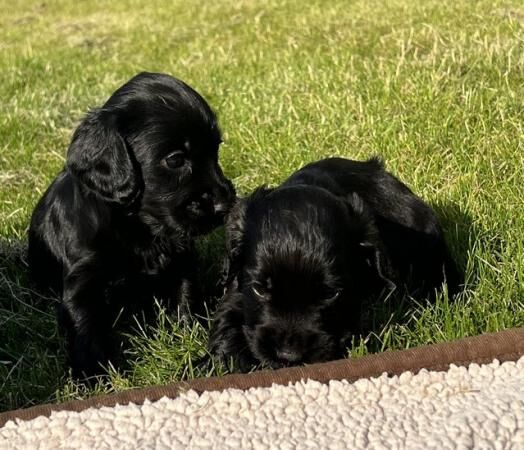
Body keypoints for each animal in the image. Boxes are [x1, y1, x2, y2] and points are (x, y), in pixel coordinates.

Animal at [27, 73, 234, 376]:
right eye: (175, 159)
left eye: (216, 148)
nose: (223, 206)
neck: (140, 229)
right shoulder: (82, 279)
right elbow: (85, 325)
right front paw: (93, 375)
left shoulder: (182, 256)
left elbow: (187, 293)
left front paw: (191, 332)